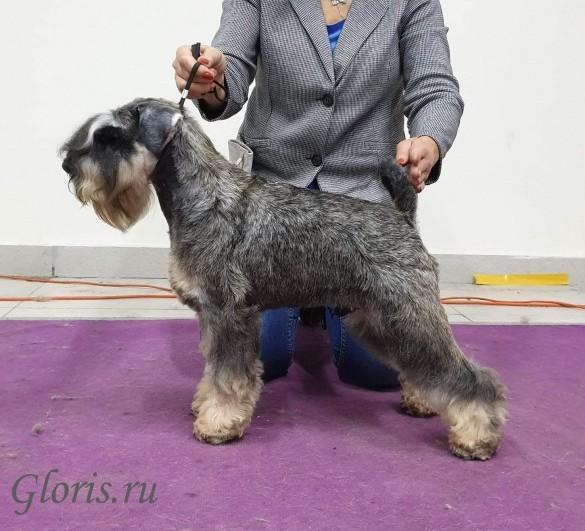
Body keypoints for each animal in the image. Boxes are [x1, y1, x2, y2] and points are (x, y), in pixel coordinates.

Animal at [60, 98, 506, 460]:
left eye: (112, 136)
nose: (68, 165)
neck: (202, 195)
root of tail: (402, 217)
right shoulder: (211, 315)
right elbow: (212, 369)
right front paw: (204, 405)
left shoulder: (229, 313)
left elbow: (229, 376)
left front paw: (219, 424)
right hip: (379, 320)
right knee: (424, 366)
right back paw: (423, 402)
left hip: (406, 313)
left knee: (469, 376)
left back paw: (476, 436)